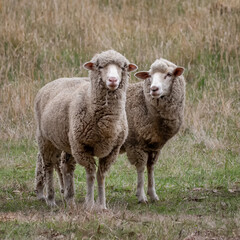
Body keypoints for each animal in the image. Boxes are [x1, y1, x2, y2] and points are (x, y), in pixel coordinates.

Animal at [34, 50, 138, 208]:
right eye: (100, 66)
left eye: (123, 67)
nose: (113, 80)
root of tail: (53, 81)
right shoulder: (82, 148)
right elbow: (91, 174)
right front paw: (90, 204)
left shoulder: (112, 151)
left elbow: (101, 176)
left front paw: (102, 205)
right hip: (45, 139)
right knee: (49, 166)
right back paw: (51, 199)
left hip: (67, 142)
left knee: (66, 167)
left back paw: (70, 198)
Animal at [120, 57, 186, 202]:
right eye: (150, 76)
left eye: (169, 74)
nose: (154, 88)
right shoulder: (135, 144)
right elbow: (140, 168)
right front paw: (141, 196)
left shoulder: (154, 146)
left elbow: (150, 167)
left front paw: (153, 194)